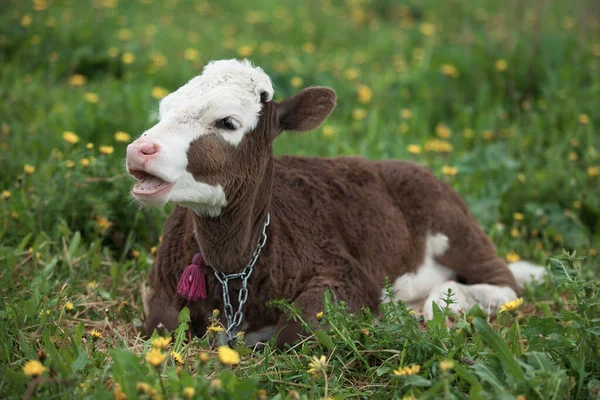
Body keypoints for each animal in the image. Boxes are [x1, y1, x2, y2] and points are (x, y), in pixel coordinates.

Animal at [125, 58, 544, 346]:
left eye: (227, 122)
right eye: (164, 110)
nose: (139, 150)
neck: (234, 268)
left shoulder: (346, 274)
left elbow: (299, 330)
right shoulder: (161, 286)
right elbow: (161, 324)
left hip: (455, 228)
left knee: (503, 284)